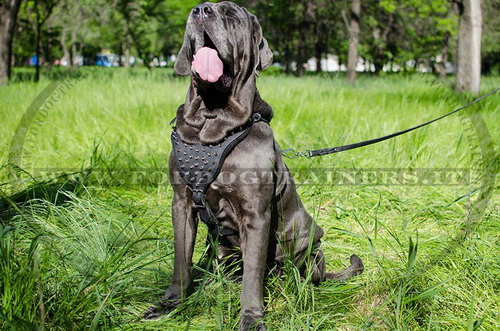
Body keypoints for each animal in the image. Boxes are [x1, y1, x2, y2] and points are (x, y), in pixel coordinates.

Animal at [145, 1, 364, 330]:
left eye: (231, 15)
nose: (201, 10)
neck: (213, 120)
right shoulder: (181, 203)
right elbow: (180, 260)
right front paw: (171, 303)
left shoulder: (256, 214)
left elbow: (253, 276)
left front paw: (251, 319)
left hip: (304, 237)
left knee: (304, 271)